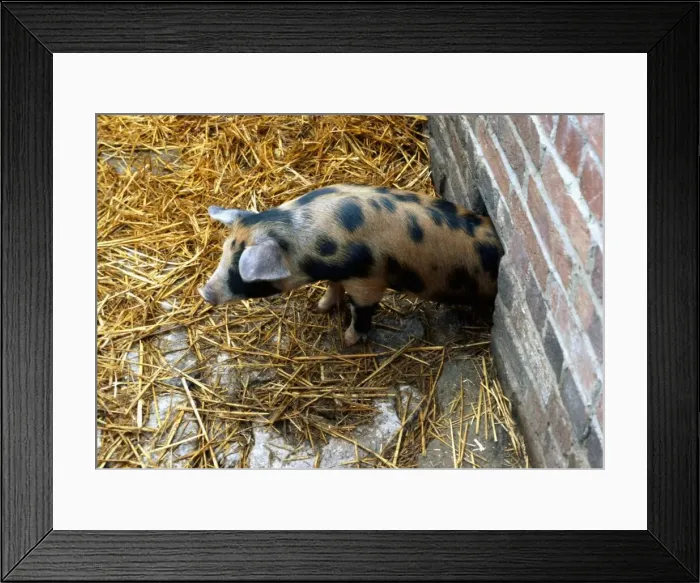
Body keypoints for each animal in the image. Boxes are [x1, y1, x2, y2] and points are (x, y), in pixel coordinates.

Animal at [199, 184, 503, 346]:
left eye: (238, 270)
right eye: (225, 252)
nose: (204, 292)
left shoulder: (368, 280)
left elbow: (362, 311)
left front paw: (346, 340)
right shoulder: (338, 273)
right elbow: (333, 288)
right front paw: (320, 308)